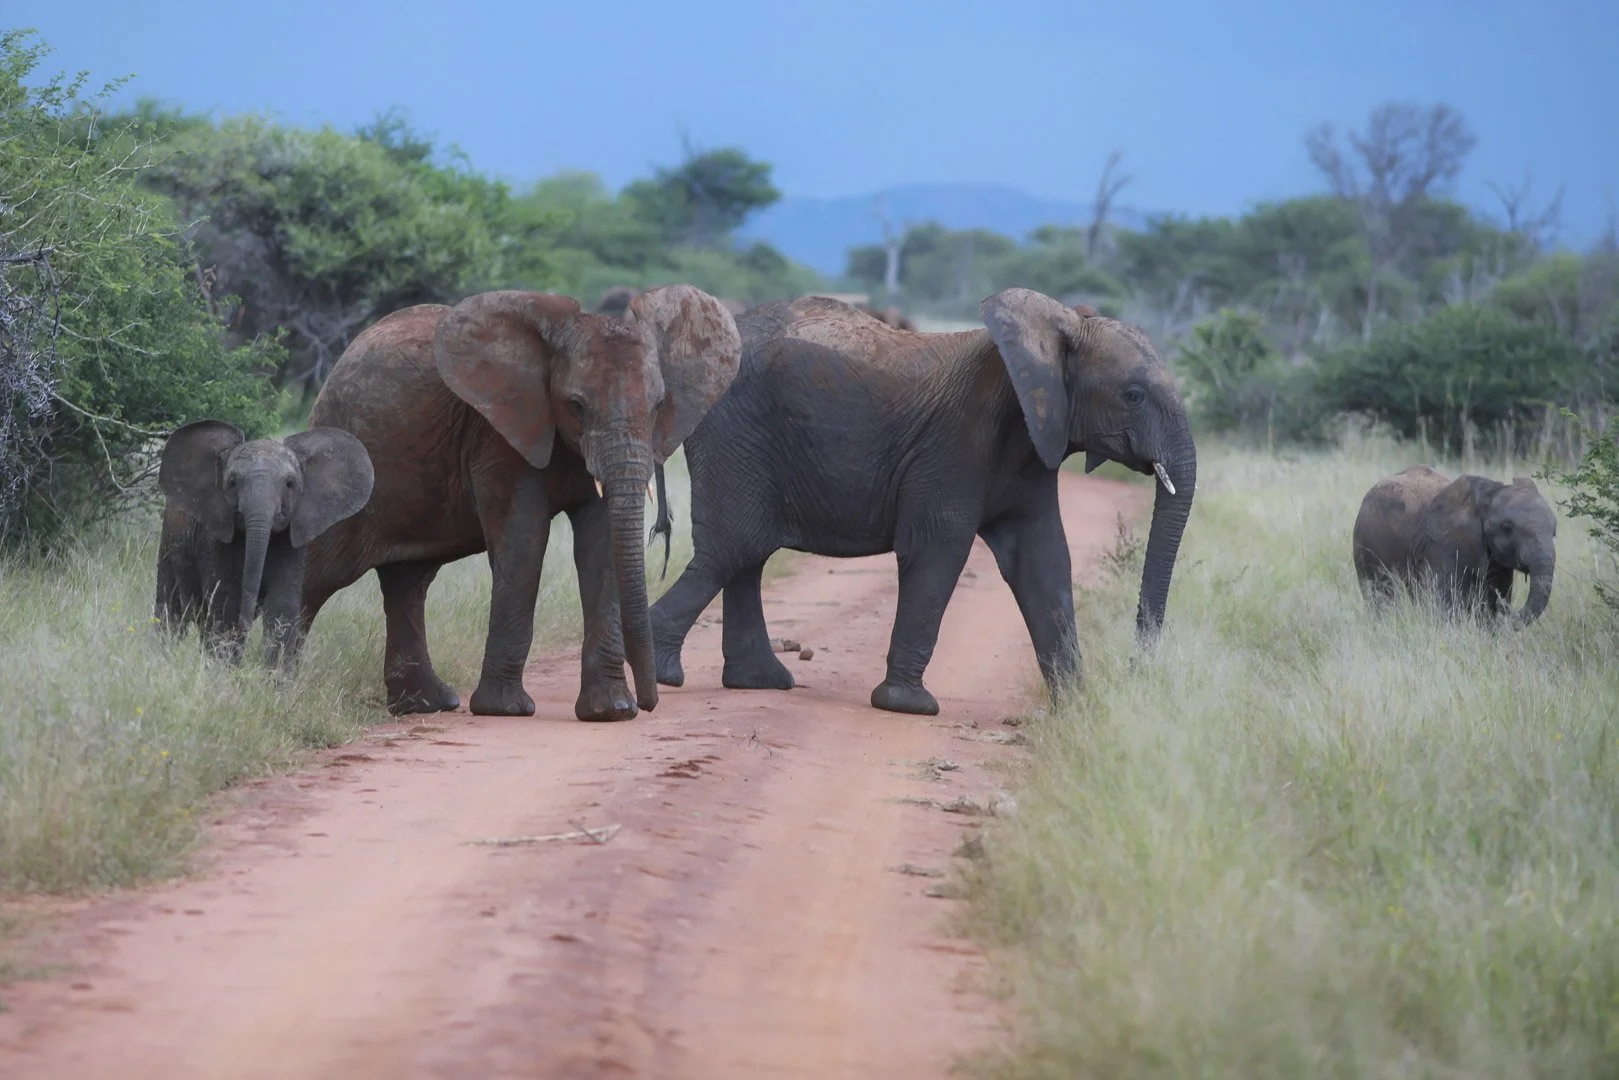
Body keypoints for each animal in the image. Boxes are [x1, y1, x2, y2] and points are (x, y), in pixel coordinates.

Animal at [154, 420, 375, 668]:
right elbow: (227, 604)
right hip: (168, 542)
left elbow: (282, 607)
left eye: (290, 484)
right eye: (232, 482)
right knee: (171, 611)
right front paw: (224, 672)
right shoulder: (215, 540)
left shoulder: (291, 543)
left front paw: (274, 678)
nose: (247, 623)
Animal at [296, 285, 743, 720]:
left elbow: (600, 549)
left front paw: (611, 711)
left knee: (408, 584)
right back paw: (283, 687)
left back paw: (426, 705)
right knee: (320, 572)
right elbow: (524, 540)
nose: (650, 703)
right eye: (576, 405)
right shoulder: (499, 433)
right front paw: (505, 709)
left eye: (659, 405)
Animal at [648, 287, 1198, 716]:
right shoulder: (956, 442)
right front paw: (908, 706)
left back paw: (758, 682)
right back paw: (660, 675)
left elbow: (1043, 559)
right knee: (734, 547)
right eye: (1133, 395)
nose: (1137, 670)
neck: (1054, 331)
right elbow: (939, 549)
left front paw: (1078, 709)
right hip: (735, 431)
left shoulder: (1037, 442)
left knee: (749, 553)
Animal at [1352, 465, 1557, 625]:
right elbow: (1448, 604)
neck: (1489, 494)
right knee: (1380, 595)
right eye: (1508, 528)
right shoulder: (1443, 547)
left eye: (1554, 532)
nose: (1509, 614)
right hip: (1366, 543)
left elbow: (1491, 602)